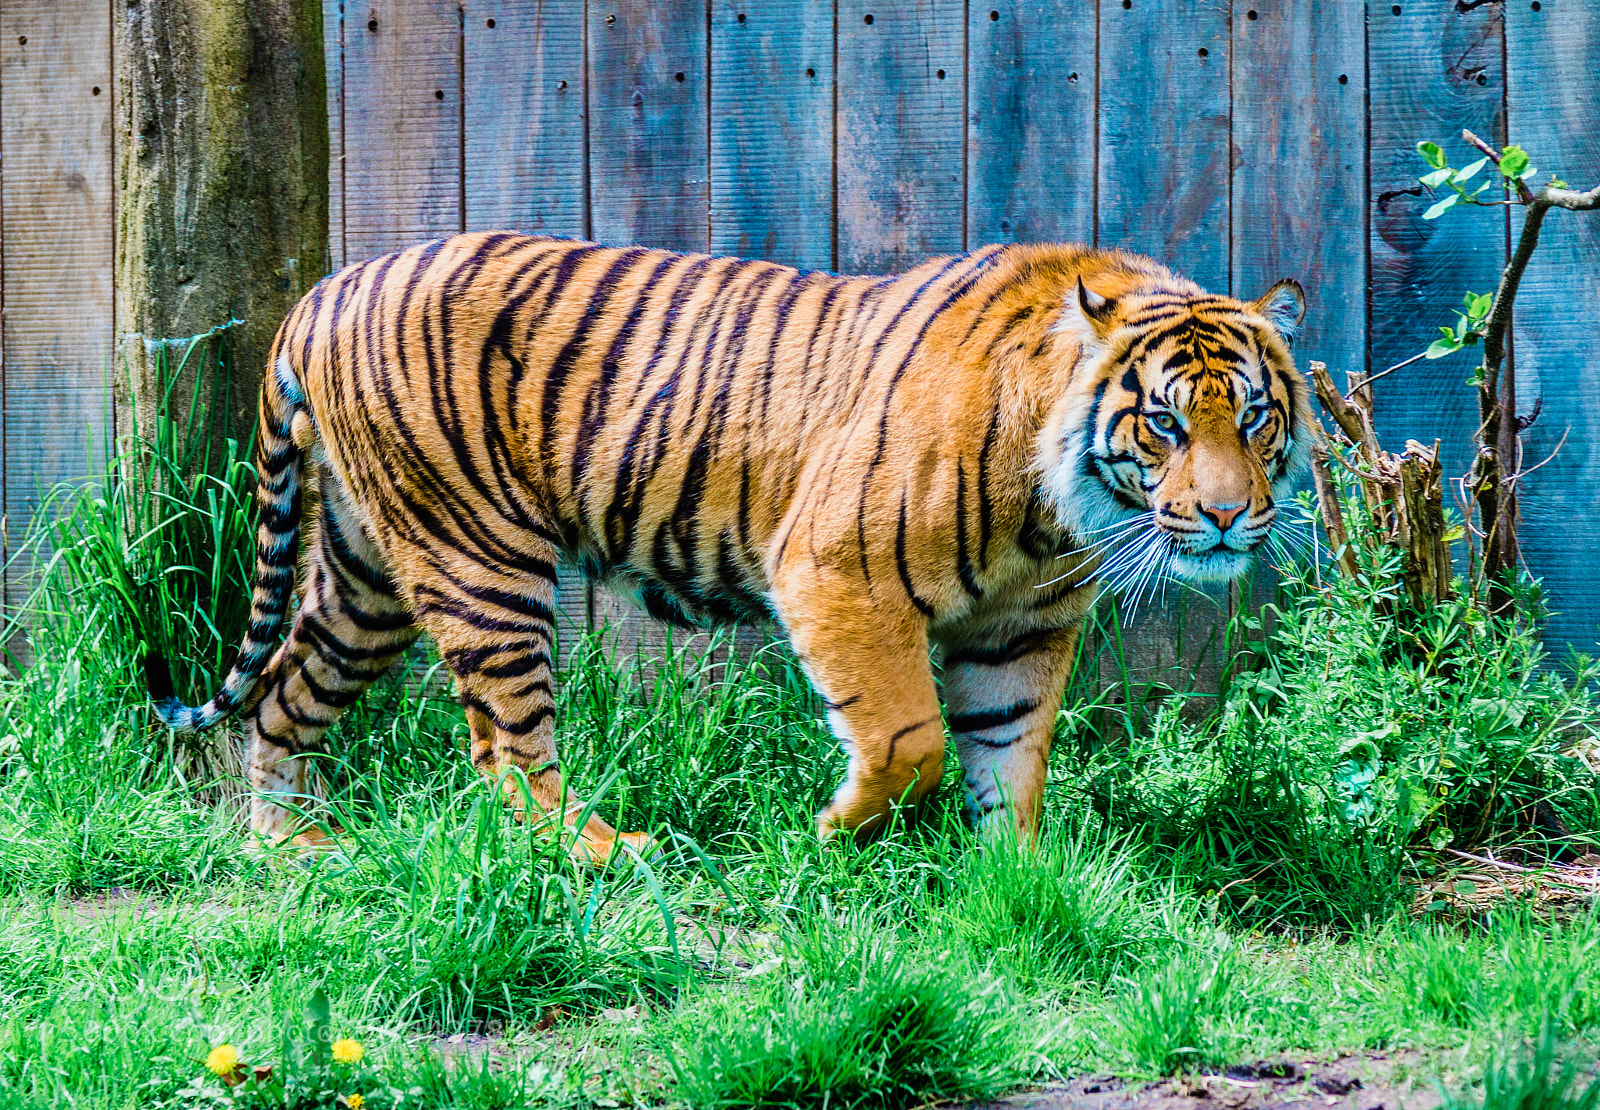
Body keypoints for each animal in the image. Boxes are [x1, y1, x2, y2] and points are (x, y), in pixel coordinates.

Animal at [147, 233, 1312, 861]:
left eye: (1253, 418)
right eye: (1164, 425)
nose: (1225, 516)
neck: (1052, 511)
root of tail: (324, 287)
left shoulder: (1019, 627)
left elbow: (1010, 756)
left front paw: (1016, 881)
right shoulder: (837, 571)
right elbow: (911, 740)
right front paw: (837, 830)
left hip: (365, 574)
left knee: (285, 694)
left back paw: (294, 852)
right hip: (479, 563)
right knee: (508, 753)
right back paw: (603, 855)